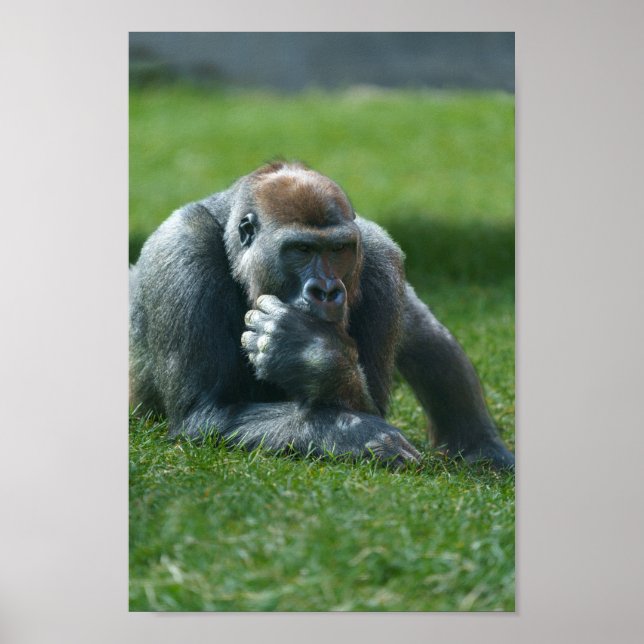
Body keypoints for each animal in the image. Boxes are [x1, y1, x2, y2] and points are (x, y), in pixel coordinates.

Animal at [129, 162, 514, 470]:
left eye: (338, 249)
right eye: (301, 249)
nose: (327, 291)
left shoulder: (380, 256)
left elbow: (366, 401)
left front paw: (312, 355)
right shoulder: (183, 245)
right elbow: (208, 413)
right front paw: (353, 433)